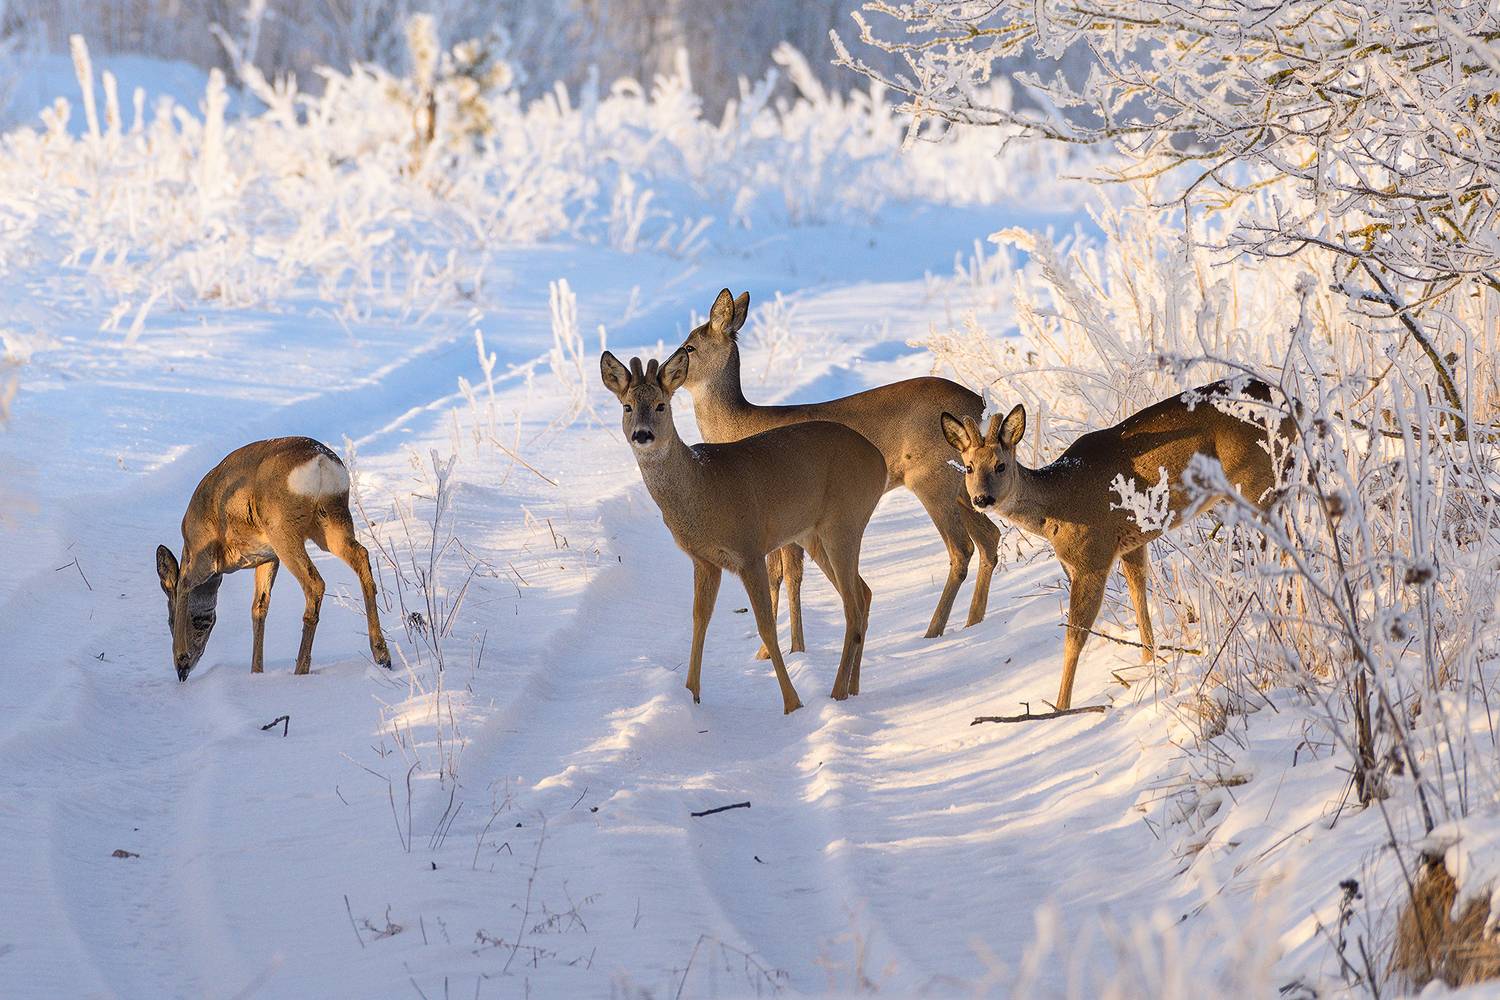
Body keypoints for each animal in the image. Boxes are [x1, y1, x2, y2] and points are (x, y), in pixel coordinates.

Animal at [154, 437, 392, 682]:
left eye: (170, 620)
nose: (187, 668)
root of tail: (321, 460)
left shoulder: (203, 552)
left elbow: (184, 584)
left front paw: (180, 659)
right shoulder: (267, 558)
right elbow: (259, 607)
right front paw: (256, 671)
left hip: (283, 529)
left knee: (315, 583)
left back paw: (301, 669)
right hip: (332, 519)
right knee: (361, 556)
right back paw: (382, 655)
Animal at [600, 349, 887, 714]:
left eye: (661, 405)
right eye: (627, 406)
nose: (642, 434)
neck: (702, 485)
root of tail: (879, 461)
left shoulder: (749, 549)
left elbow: (765, 626)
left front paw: (792, 703)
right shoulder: (704, 560)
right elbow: (699, 620)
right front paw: (691, 693)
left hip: (845, 520)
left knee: (853, 606)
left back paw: (836, 693)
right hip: (814, 534)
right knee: (863, 592)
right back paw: (852, 688)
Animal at [676, 288, 1000, 659]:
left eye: (689, 346)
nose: (666, 371)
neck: (738, 426)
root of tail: (980, 406)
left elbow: (783, 575)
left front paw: (777, 652)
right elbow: (789, 574)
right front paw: (785, 650)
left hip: (931, 478)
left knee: (961, 549)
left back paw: (933, 631)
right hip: (964, 487)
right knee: (989, 538)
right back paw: (972, 622)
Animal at [941, 378, 1295, 710]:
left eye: (1000, 465)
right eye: (969, 467)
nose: (981, 499)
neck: (1056, 503)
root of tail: (1294, 406)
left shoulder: (1092, 557)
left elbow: (1074, 636)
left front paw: (1060, 707)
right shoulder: (1131, 543)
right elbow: (1140, 598)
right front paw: (1149, 663)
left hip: (1255, 483)